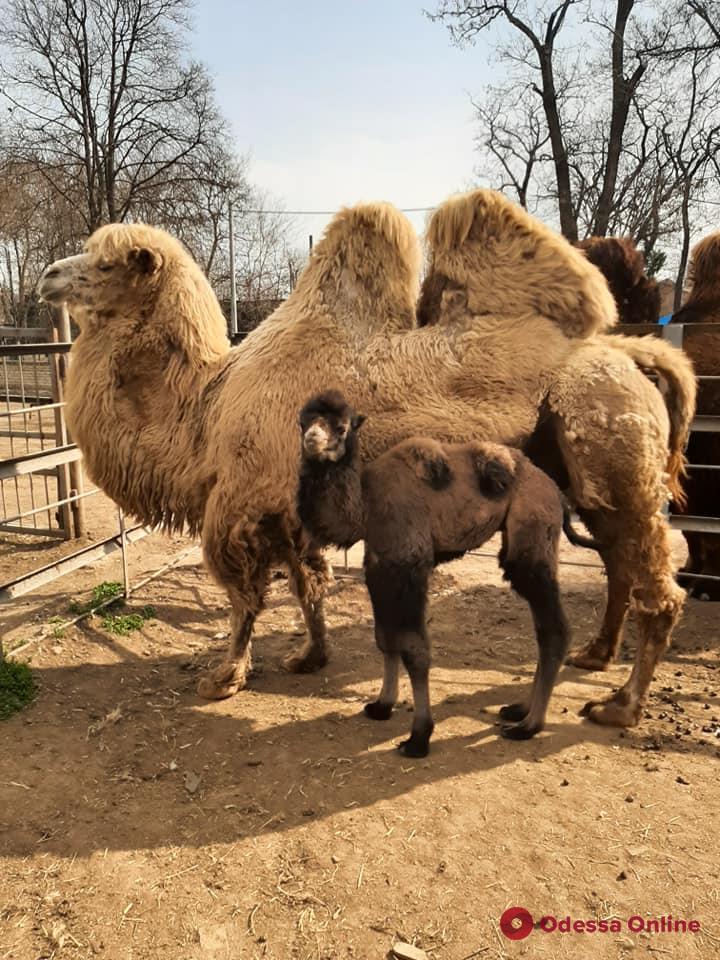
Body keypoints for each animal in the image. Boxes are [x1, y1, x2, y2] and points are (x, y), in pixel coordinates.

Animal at [39, 189, 692, 728]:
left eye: (105, 263)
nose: (47, 275)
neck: (206, 408)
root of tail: (630, 354)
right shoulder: (289, 510)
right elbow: (307, 582)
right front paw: (311, 654)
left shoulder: (240, 505)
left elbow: (244, 596)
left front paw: (224, 677)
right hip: (581, 471)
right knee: (619, 563)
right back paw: (594, 655)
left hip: (614, 450)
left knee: (657, 587)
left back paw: (620, 706)